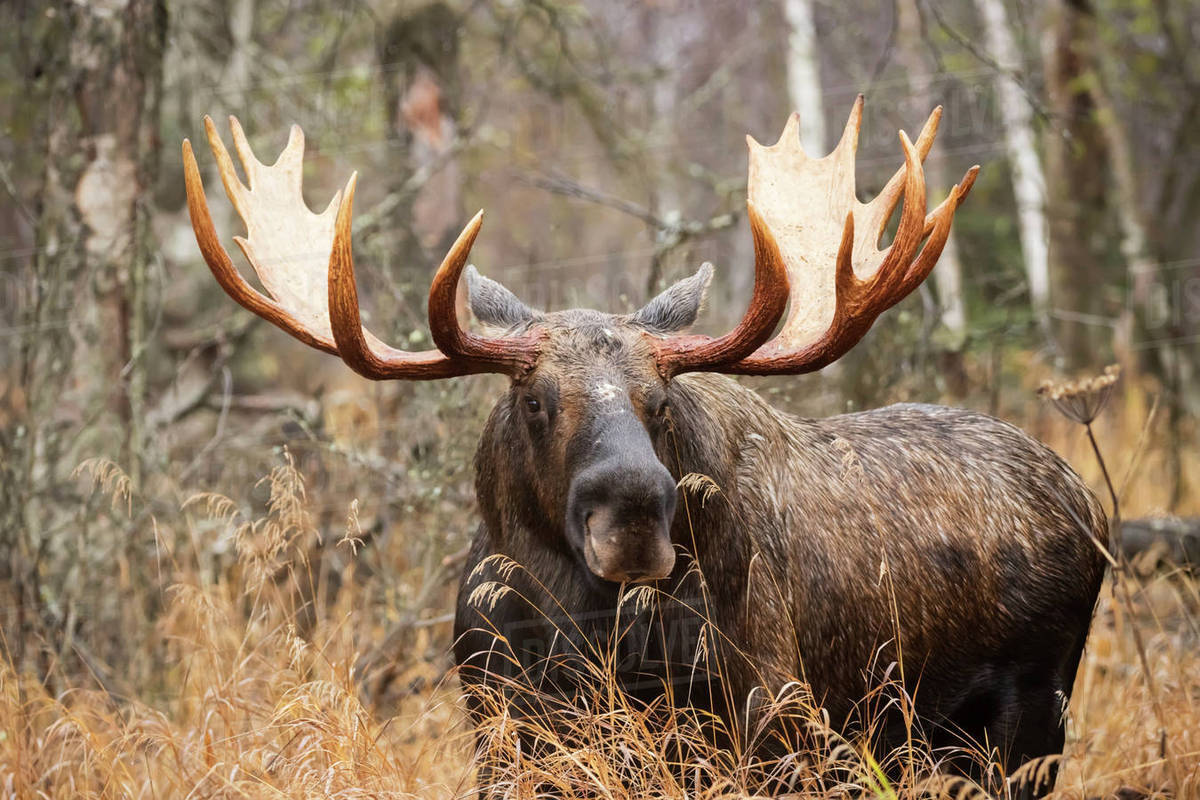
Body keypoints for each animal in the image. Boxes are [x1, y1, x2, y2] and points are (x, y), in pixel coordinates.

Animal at [182, 98, 1107, 796]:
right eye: (535, 399)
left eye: (659, 401)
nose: (632, 513)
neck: (578, 631)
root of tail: (1088, 503)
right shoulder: (503, 731)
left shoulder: (771, 724)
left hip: (1031, 717)